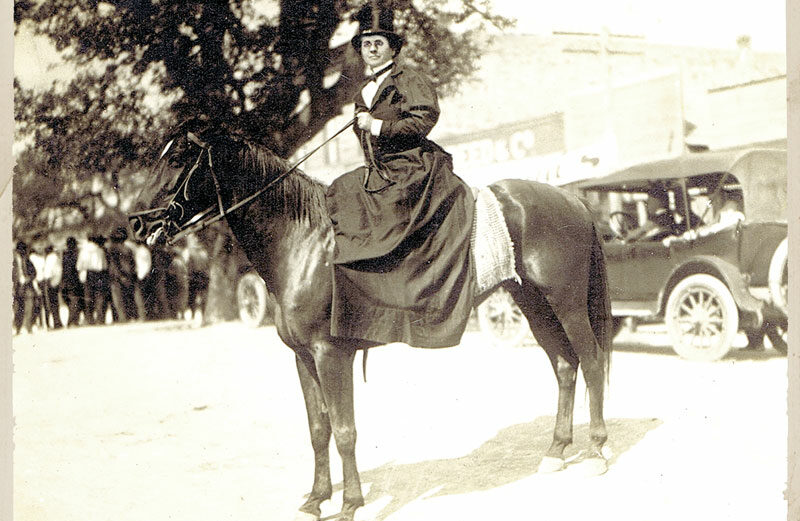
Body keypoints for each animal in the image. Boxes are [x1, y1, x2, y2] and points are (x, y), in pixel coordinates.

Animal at [128, 123, 612, 520]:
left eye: (178, 157)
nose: (135, 222)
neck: (303, 243)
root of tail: (572, 197)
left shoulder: (330, 354)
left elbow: (344, 431)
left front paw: (350, 503)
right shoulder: (302, 357)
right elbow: (318, 429)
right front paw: (315, 499)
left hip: (567, 304)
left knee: (590, 362)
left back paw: (596, 450)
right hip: (533, 305)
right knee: (565, 367)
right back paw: (556, 450)